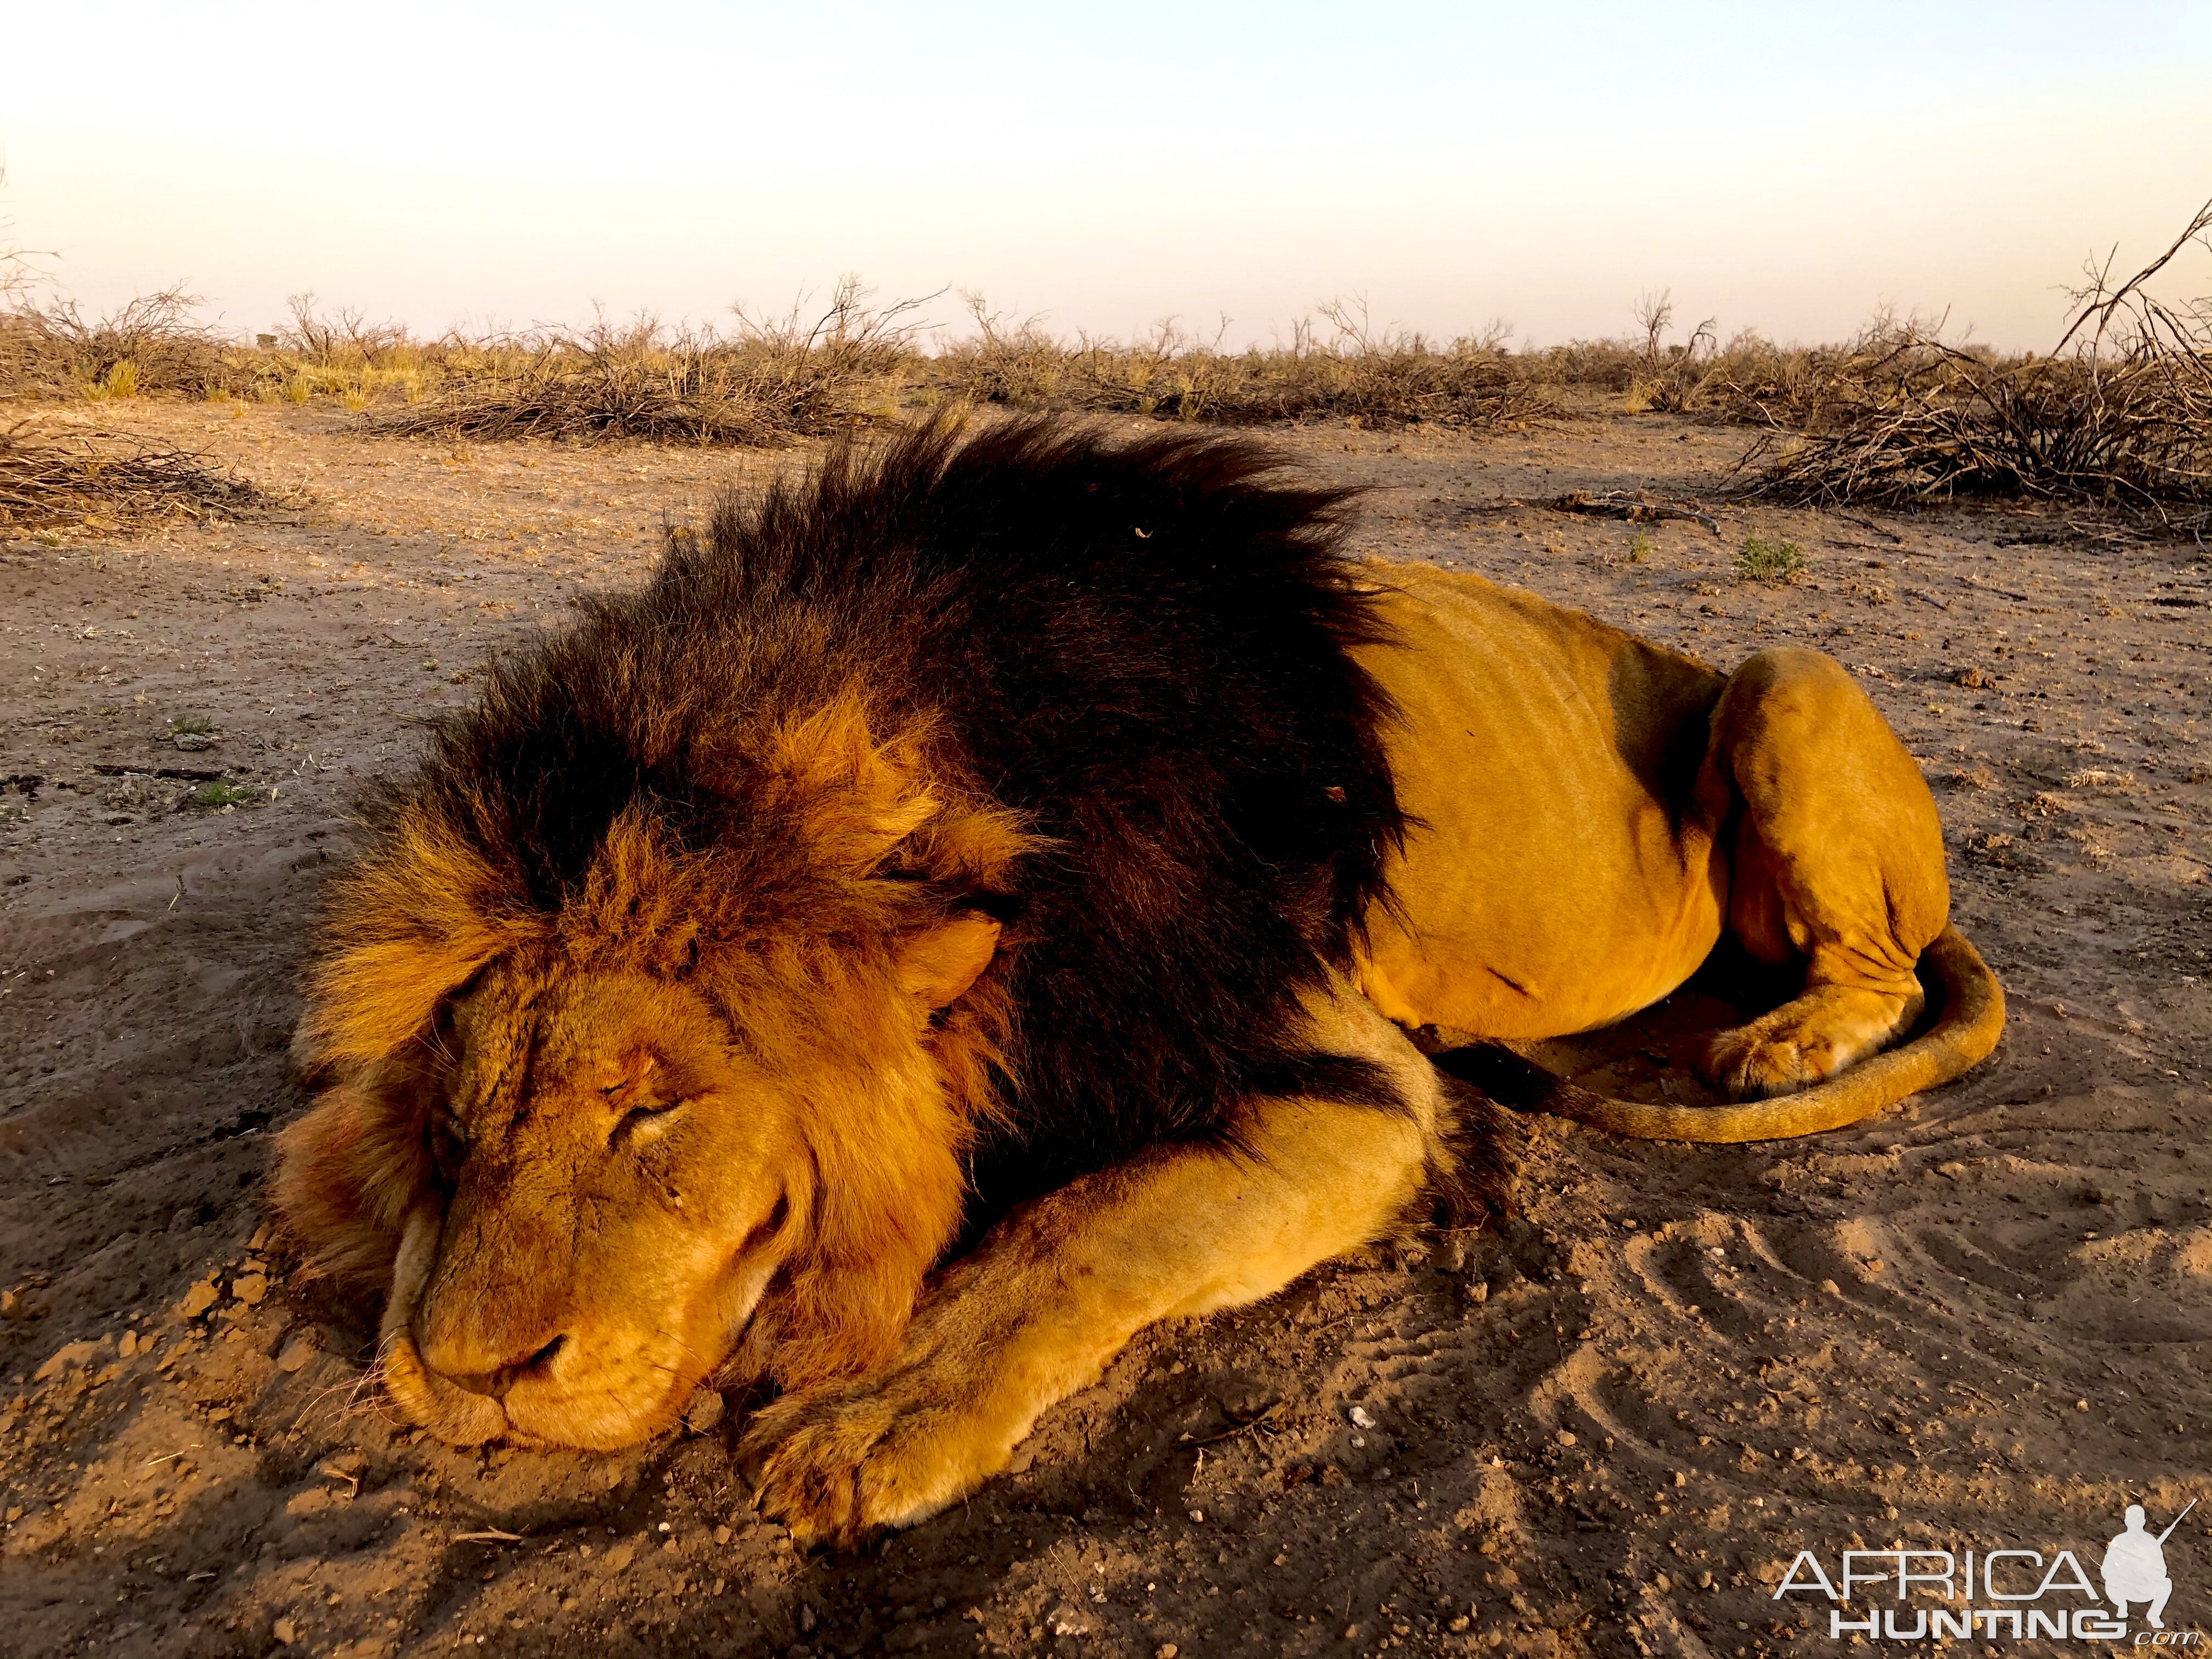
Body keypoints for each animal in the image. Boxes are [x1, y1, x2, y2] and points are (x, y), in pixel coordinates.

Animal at [276, 413, 2008, 1548]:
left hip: (1783, 676)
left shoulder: (1343, 1077)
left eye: (656, 1113)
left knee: (1872, 966)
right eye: (455, 1115)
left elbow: (1083, 1230)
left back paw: (1784, 1043)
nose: (468, 1379)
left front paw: (870, 1417)